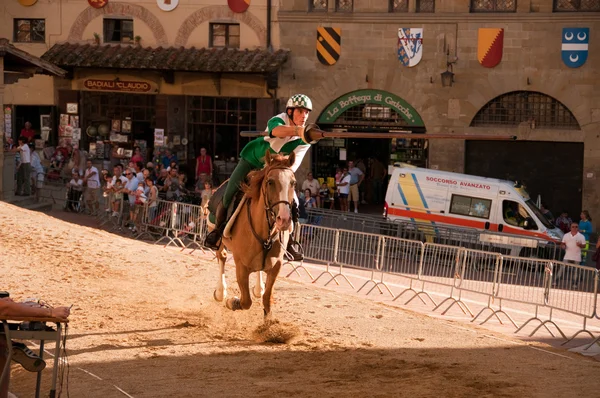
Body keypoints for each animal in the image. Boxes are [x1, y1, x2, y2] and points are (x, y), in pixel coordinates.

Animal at [213, 151, 298, 318]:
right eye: (270, 182)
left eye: (293, 183)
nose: (284, 219)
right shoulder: (241, 266)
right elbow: (246, 301)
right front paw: (232, 302)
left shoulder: (276, 266)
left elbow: (267, 298)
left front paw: (268, 323)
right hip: (219, 239)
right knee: (222, 256)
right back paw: (221, 293)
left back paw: (258, 288)